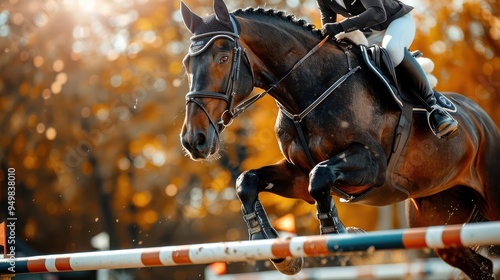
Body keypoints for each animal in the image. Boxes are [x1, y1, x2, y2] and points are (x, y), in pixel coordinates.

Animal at [179, 0, 500, 278]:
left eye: (223, 58)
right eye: (186, 64)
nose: (194, 140)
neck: (308, 90)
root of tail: (482, 118)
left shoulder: (372, 165)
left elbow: (320, 177)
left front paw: (338, 233)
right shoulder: (297, 175)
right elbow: (247, 181)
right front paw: (270, 246)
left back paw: (441, 116)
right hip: (437, 213)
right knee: (479, 266)